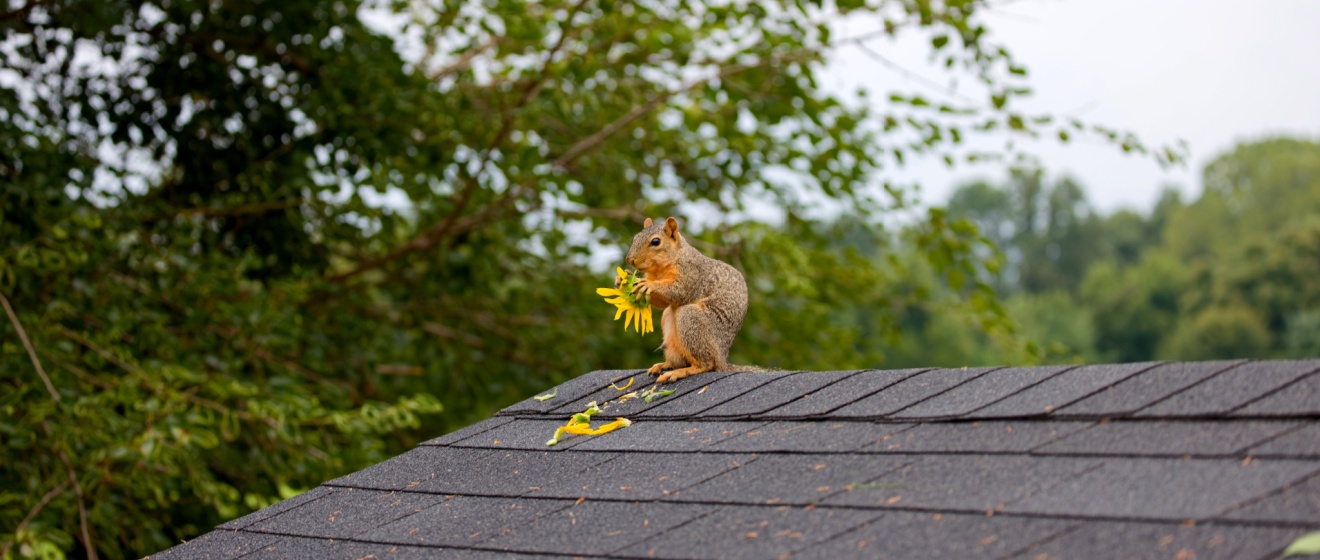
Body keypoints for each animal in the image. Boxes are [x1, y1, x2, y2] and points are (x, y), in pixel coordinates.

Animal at [624, 216, 757, 383]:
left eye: (655, 241)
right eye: (635, 238)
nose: (630, 260)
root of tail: (722, 360)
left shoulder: (691, 273)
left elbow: (679, 291)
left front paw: (649, 285)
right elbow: (663, 303)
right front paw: (622, 279)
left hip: (691, 319)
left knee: (706, 364)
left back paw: (681, 372)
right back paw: (665, 365)